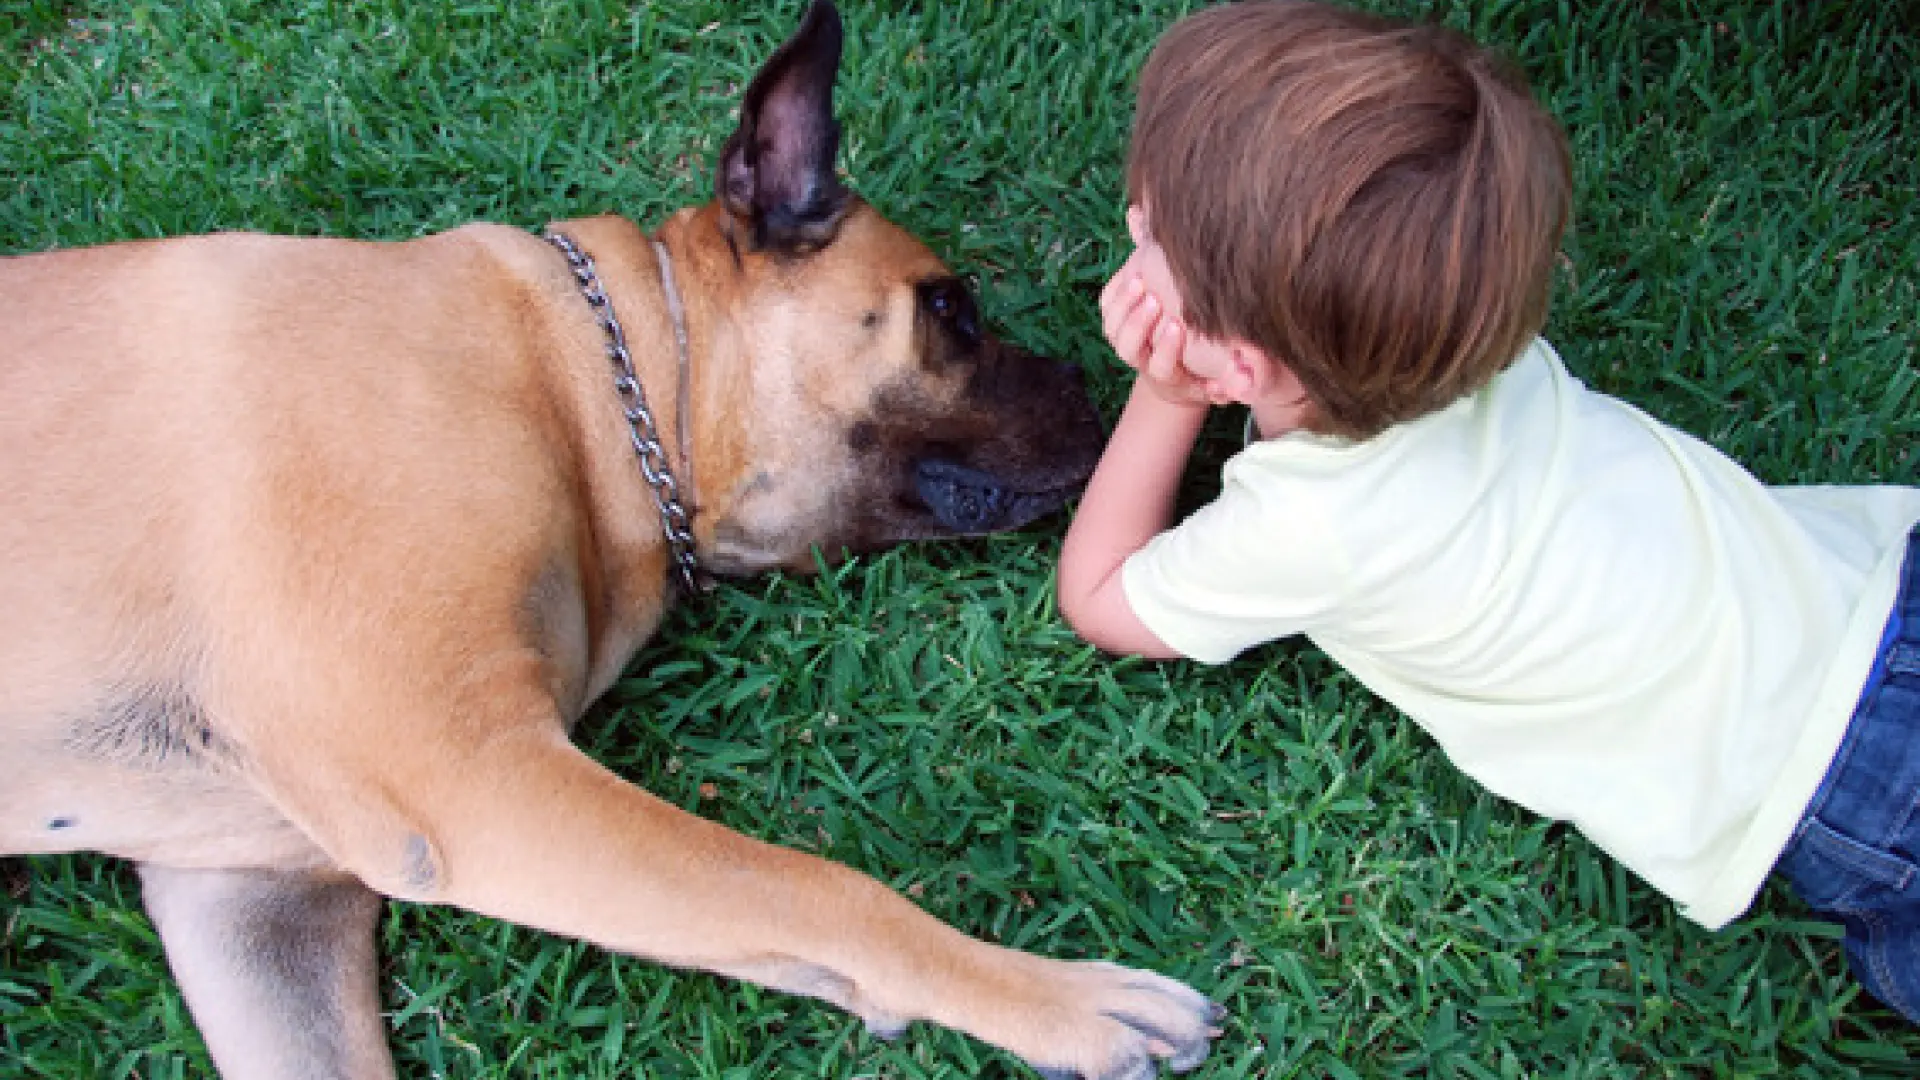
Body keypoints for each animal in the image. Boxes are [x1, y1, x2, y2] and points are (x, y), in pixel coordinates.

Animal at [0, 2, 1221, 1076]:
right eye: (951, 309)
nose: (1090, 390)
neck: (593, 379)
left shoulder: (259, 903)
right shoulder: (473, 773)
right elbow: (812, 887)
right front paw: (1060, 999)